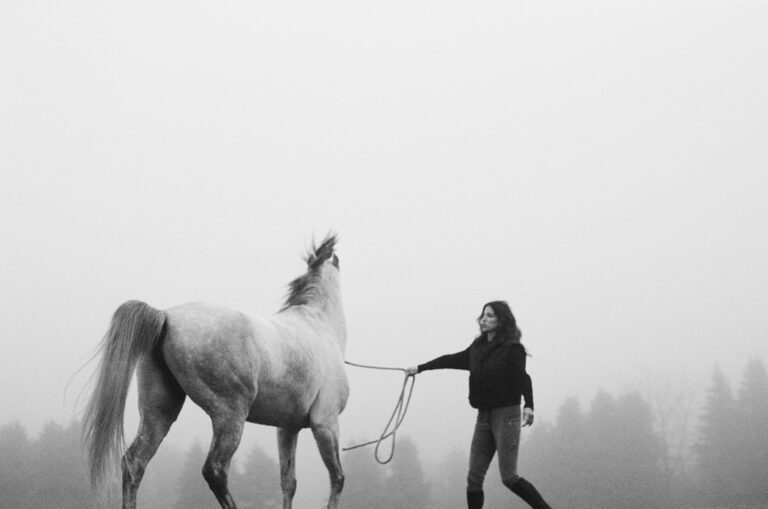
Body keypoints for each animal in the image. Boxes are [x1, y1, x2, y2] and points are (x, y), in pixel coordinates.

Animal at [82, 234, 349, 509]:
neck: (318, 325)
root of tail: (166, 316)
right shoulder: (325, 423)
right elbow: (337, 478)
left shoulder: (287, 428)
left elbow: (288, 483)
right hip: (229, 415)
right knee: (215, 470)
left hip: (159, 413)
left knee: (134, 462)